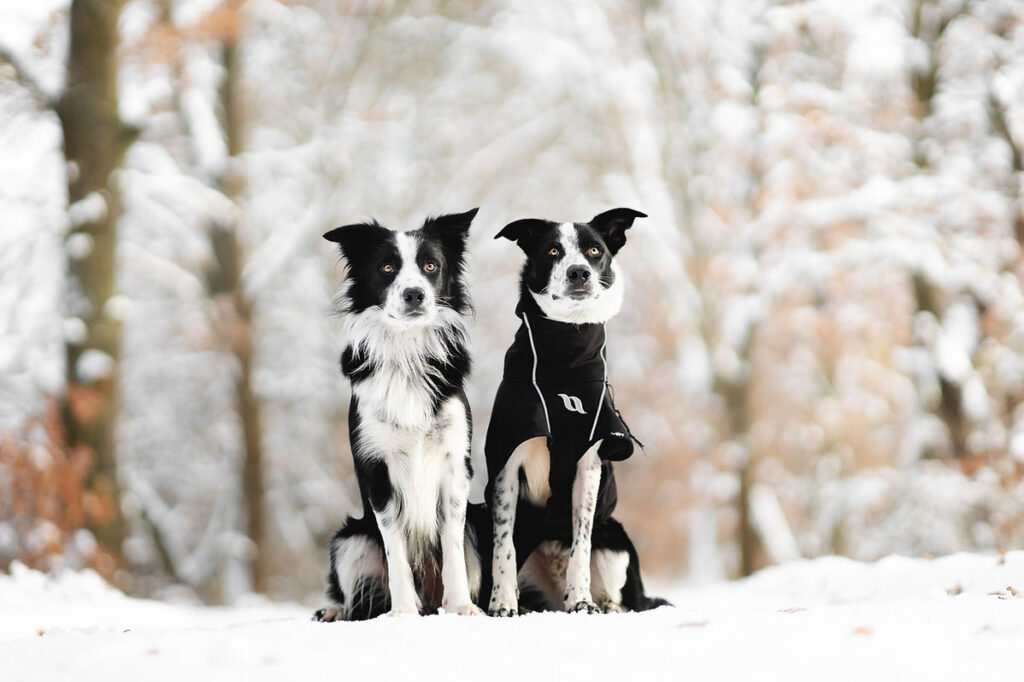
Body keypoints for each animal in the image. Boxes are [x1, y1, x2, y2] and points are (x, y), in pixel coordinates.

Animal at [313, 209, 489, 618]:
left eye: (430, 266)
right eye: (388, 267)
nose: (414, 294)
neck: (407, 353)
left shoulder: (456, 465)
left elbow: (452, 545)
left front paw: (462, 606)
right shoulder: (377, 467)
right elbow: (395, 550)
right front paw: (404, 612)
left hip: (479, 521)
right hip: (350, 538)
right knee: (354, 598)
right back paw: (334, 611)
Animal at [485, 204, 667, 614]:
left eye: (594, 251)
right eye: (553, 250)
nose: (579, 272)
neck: (562, 362)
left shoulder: (589, 465)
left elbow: (580, 547)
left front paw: (580, 600)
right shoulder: (508, 465)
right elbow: (503, 546)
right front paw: (501, 604)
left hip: (615, 540)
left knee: (622, 595)